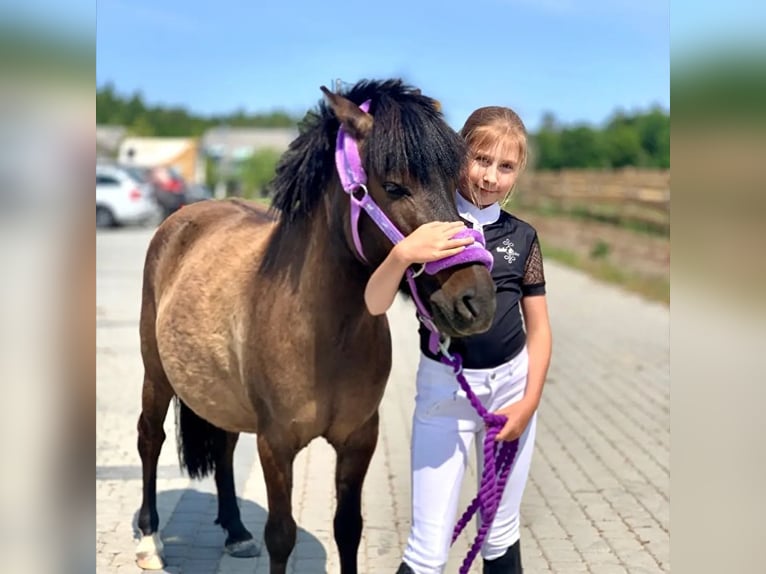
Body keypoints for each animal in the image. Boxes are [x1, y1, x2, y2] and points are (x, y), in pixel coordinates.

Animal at [135, 79, 498, 572]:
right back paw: (149, 539)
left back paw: (235, 531)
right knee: (150, 438)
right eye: (393, 186)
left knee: (224, 448)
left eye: (451, 184)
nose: (476, 300)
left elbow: (348, 528)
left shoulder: (359, 439)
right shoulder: (275, 445)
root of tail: (183, 217)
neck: (323, 333)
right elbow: (281, 535)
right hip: (156, 376)